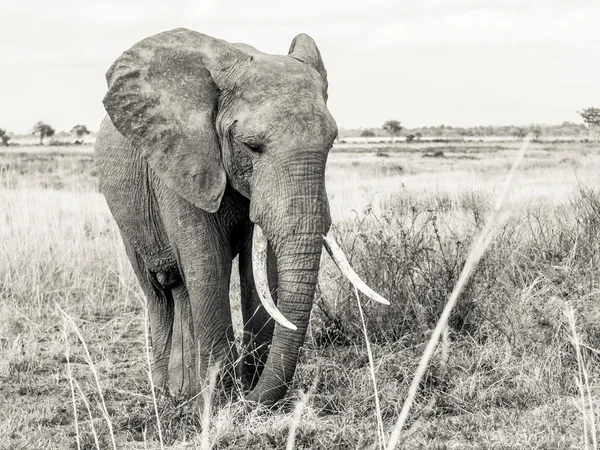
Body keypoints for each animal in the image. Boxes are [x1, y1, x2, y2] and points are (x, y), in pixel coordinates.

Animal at [94, 29, 384, 408]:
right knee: (158, 290)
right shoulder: (182, 163)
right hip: (126, 211)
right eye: (252, 146)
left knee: (182, 289)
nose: (251, 398)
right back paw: (166, 396)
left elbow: (259, 267)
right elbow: (207, 264)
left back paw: (185, 392)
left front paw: (242, 392)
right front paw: (221, 401)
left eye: (332, 143)